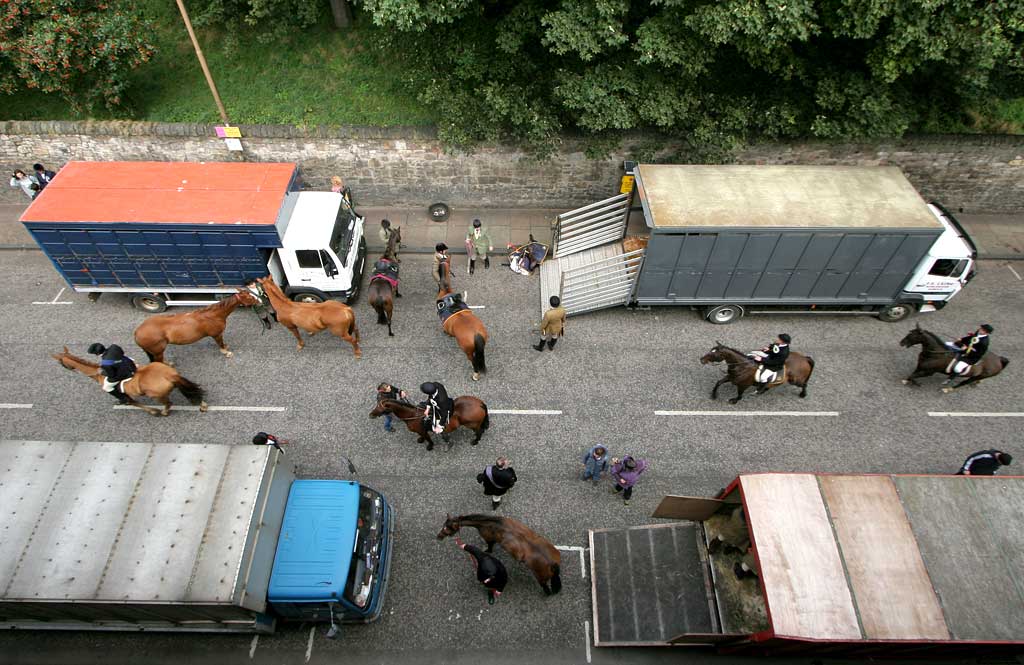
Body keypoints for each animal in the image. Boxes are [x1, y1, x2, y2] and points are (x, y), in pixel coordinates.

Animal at [52, 348, 208, 413]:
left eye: (60, 361)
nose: (68, 369)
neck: (99, 375)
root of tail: (169, 375)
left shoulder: (120, 393)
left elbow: (132, 402)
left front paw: (153, 412)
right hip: (178, 382)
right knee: (191, 392)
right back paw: (202, 405)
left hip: (157, 395)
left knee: (169, 404)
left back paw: (163, 412)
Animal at [436, 514, 565, 598]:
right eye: (443, 525)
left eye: (447, 528)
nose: (438, 537)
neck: (490, 523)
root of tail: (552, 564)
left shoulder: (489, 539)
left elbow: (489, 548)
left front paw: (486, 551)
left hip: (541, 579)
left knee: (546, 589)